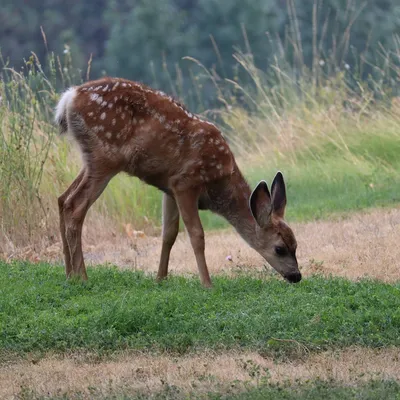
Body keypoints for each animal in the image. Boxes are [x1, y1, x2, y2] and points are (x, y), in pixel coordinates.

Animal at [54, 76, 302, 286]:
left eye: (296, 245)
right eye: (280, 248)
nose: (297, 276)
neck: (219, 183)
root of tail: (69, 98)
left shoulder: (169, 187)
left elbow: (169, 234)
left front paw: (160, 278)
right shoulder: (186, 182)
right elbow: (196, 234)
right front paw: (207, 283)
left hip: (91, 160)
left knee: (62, 199)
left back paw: (68, 274)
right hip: (105, 157)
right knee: (75, 205)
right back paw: (82, 277)